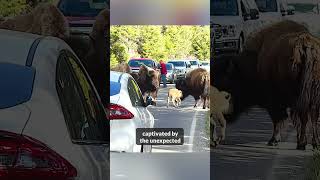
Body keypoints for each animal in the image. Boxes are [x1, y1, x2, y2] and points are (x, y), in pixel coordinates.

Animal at [212, 19, 320, 150]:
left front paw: (273, 140)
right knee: (312, 115)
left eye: (226, 83)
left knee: (303, 115)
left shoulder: (273, 101)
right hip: (312, 95)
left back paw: (303, 143)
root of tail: (305, 46)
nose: (222, 114)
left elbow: (278, 119)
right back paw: (313, 143)